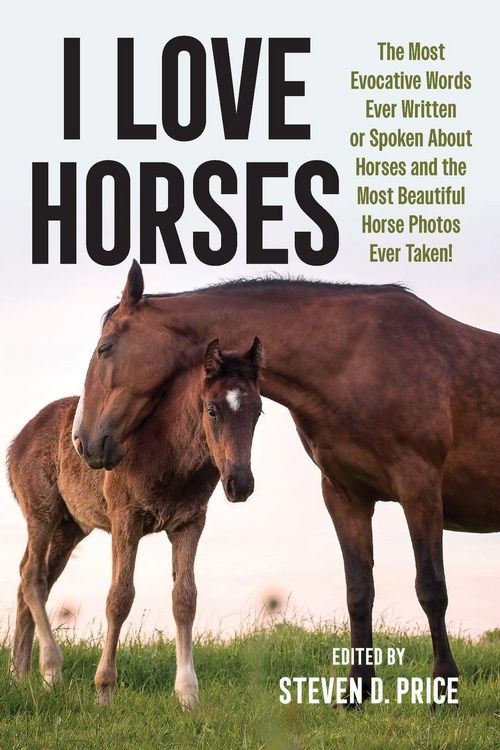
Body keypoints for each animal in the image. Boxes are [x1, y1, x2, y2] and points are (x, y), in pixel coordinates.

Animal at [8, 338, 263, 708]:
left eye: (258, 412)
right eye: (212, 410)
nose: (240, 484)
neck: (169, 450)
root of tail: (18, 441)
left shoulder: (189, 523)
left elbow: (185, 599)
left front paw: (188, 696)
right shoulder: (125, 519)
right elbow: (119, 597)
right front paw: (104, 690)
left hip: (70, 528)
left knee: (31, 580)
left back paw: (20, 674)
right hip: (42, 513)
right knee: (32, 576)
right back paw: (51, 669)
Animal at [74, 261, 500, 702]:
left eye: (105, 348)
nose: (83, 440)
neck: (360, 359)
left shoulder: (420, 488)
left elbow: (431, 589)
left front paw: (444, 689)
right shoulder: (345, 496)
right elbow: (359, 591)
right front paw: (355, 694)